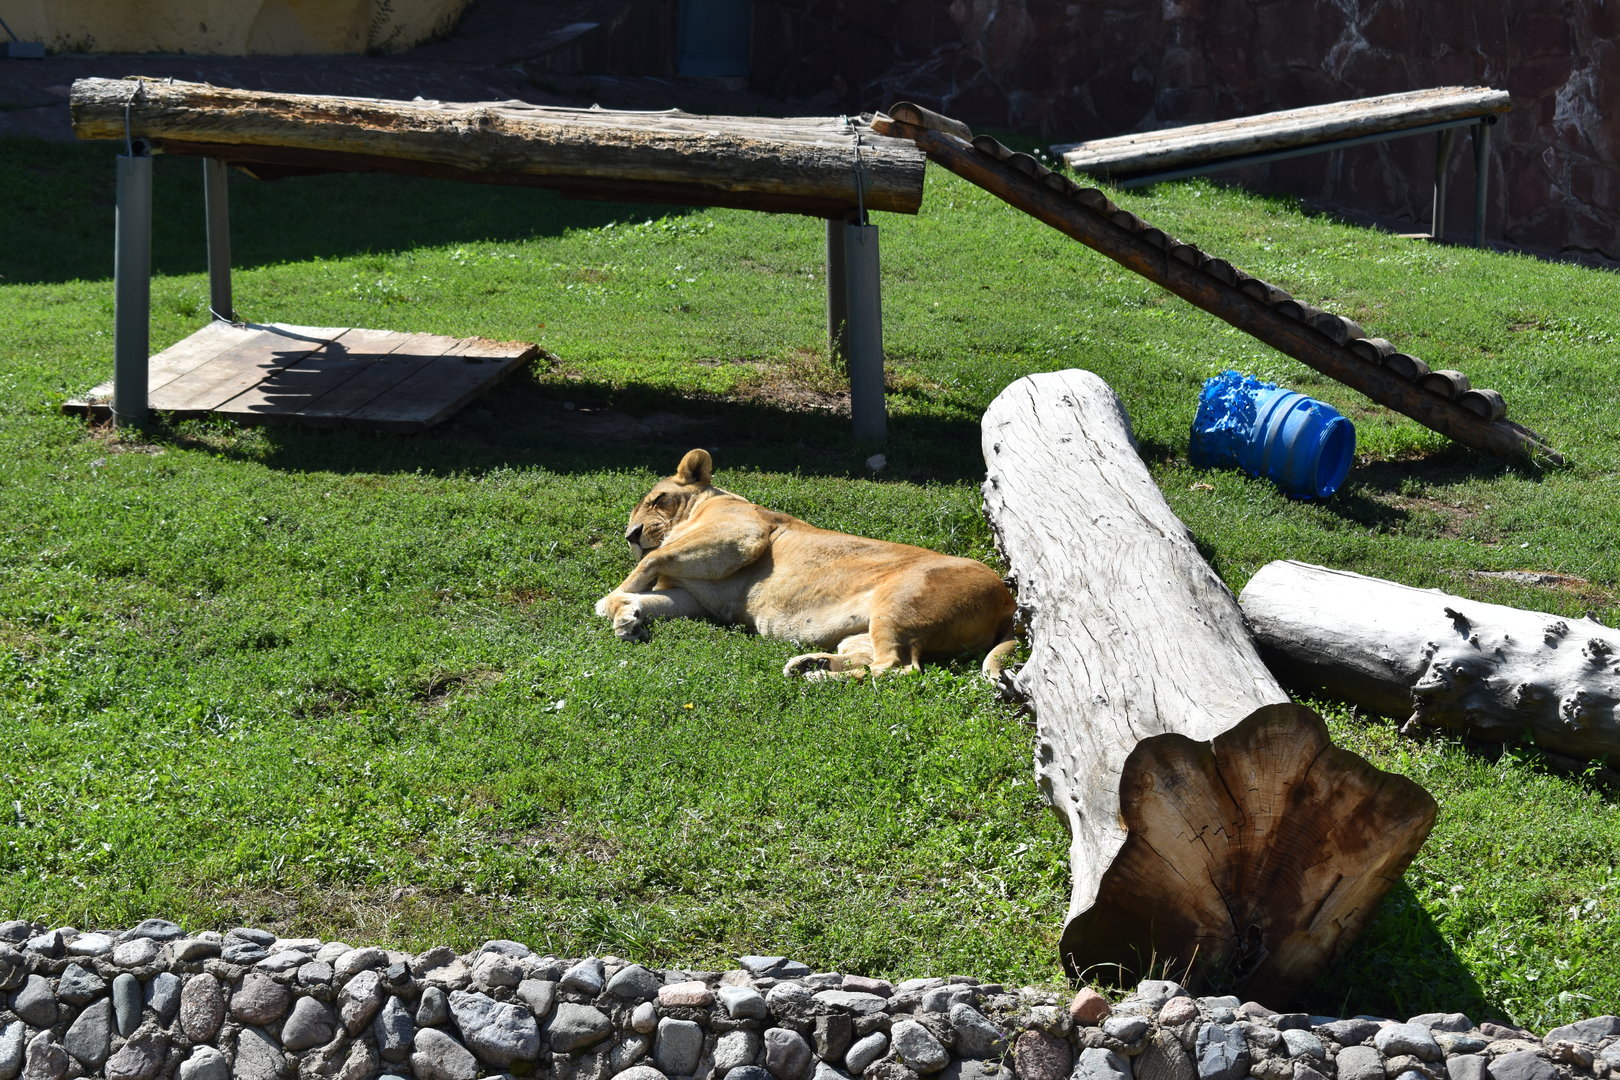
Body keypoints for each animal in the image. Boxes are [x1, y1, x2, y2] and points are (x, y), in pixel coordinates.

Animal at [594, 449, 1018, 679]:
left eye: (657, 500)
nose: (631, 535)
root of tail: (1008, 601)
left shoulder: (742, 535)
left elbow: (650, 561)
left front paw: (612, 604)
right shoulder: (693, 598)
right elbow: (653, 595)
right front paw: (629, 617)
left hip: (899, 603)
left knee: (897, 668)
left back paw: (816, 678)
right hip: (870, 628)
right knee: (871, 657)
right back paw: (809, 663)